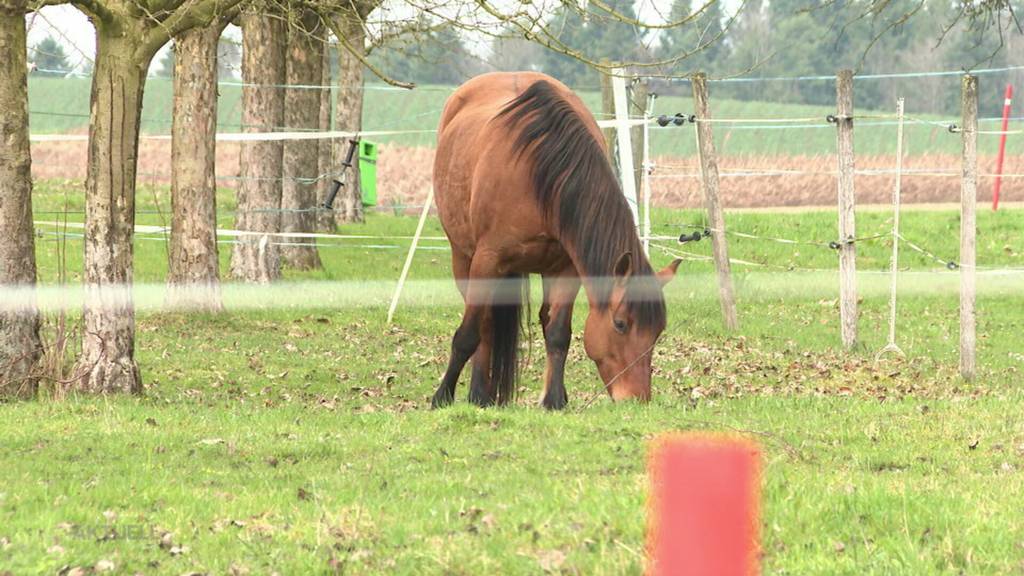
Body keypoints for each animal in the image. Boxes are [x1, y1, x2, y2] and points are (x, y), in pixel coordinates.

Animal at [432, 71, 679, 407]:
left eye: (658, 331)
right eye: (620, 323)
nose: (636, 398)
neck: (542, 174)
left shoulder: (567, 269)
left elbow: (559, 333)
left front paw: (553, 401)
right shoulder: (487, 261)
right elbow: (469, 334)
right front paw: (443, 396)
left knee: (542, 320)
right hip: (464, 257)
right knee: (484, 324)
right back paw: (479, 393)